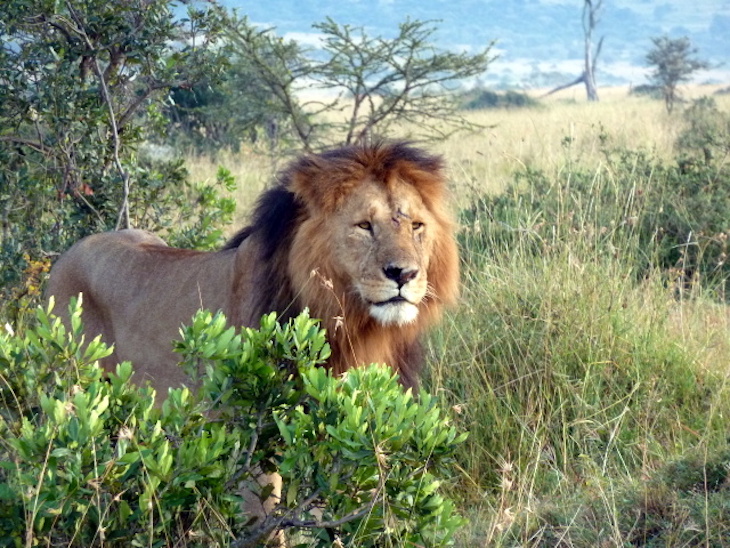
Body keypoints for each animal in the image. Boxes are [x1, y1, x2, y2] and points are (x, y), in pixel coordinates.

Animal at [45, 141, 459, 540]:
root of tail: (67, 255)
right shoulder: (253, 438)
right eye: (363, 225)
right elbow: (266, 524)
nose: (404, 274)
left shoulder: (359, 430)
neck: (356, 332)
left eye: (417, 226)